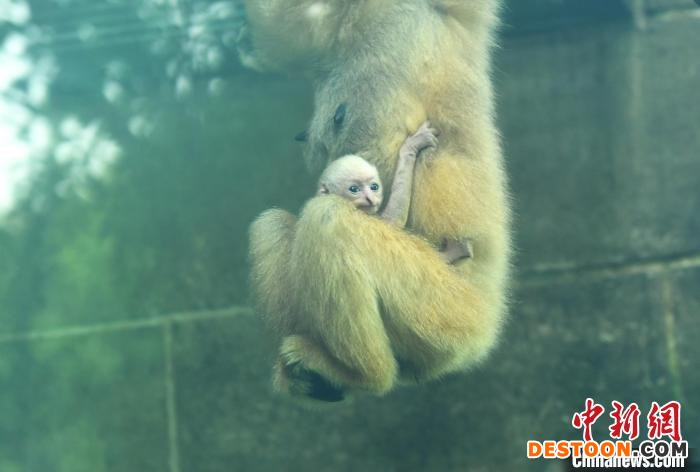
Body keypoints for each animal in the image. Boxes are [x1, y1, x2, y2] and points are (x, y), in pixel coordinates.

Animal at [247, 0, 510, 401]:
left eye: (369, 188)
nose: (368, 199)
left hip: (445, 309)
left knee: (329, 221)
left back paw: (361, 376)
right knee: (273, 224)